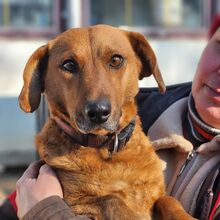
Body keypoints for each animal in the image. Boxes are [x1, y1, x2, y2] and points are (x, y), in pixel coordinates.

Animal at [18, 24, 194, 219]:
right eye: (69, 64)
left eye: (116, 60)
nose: (98, 112)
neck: (109, 148)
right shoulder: (78, 204)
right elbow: (111, 199)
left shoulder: (157, 194)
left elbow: (169, 201)